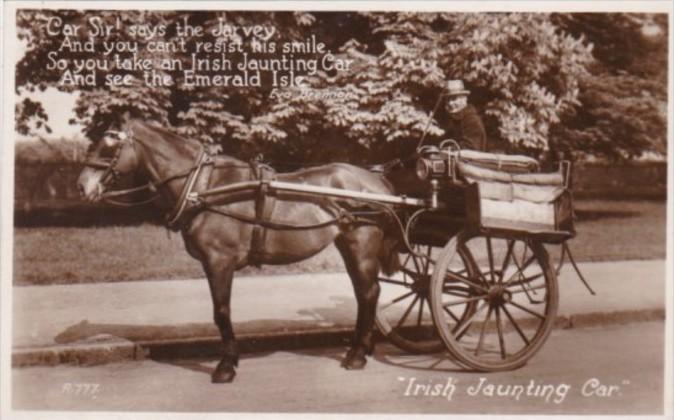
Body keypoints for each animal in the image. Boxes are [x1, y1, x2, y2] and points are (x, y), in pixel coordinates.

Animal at [75, 119, 400, 384]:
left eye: (109, 146)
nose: (81, 187)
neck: (203, 187)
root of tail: (376, 180)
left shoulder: (219, 261)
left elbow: (221, 311)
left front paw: (226, 365)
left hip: (361, 244)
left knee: (368, 293)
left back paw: (357, 354)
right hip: (349, 245)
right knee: (365, 293)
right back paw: (362, 347)